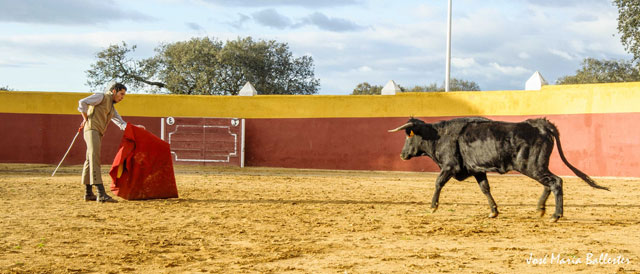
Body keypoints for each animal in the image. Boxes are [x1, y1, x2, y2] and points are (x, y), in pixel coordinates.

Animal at [388, 117, 608, 223]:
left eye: (408, 136)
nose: (402, 154)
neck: (439, 135)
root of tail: (539, 124)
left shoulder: (449, 166)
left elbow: (438, 182)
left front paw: (433, 206)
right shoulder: (477, 170)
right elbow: (485, 188)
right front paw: (493, 211)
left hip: (531, 166)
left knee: (555, 182)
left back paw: (556, 215)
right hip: (538, 166)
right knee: (550, 183)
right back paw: (541, 209)